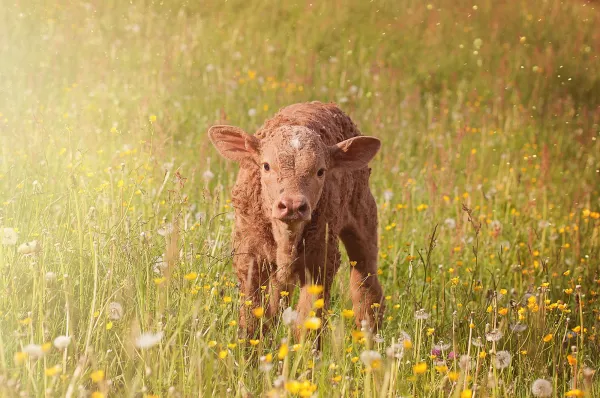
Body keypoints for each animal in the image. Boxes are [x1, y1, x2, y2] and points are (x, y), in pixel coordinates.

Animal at [206, 101, 384, 338]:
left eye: (321, 171)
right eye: (266, 166)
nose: (292, 205)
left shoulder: (321, 262)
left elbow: (308, 323)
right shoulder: (249, 257)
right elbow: (252, 319)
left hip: (364, 215)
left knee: (366, 286)